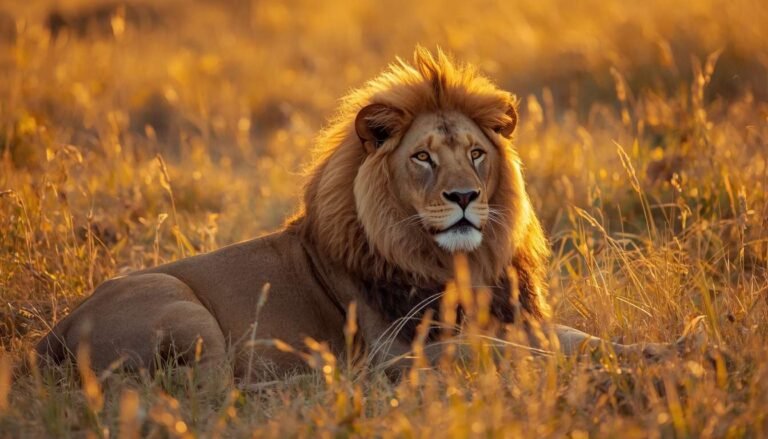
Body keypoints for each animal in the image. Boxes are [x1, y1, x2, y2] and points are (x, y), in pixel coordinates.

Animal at [36, 48, 683, 380]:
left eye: (476, 154)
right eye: (423, 157)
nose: (465, 197)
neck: (459, 264)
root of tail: (51, 334)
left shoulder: (517, 315)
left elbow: (582, 337)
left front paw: (668, 351)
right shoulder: (396, 356)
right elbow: (508, 352)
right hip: (186, 313)